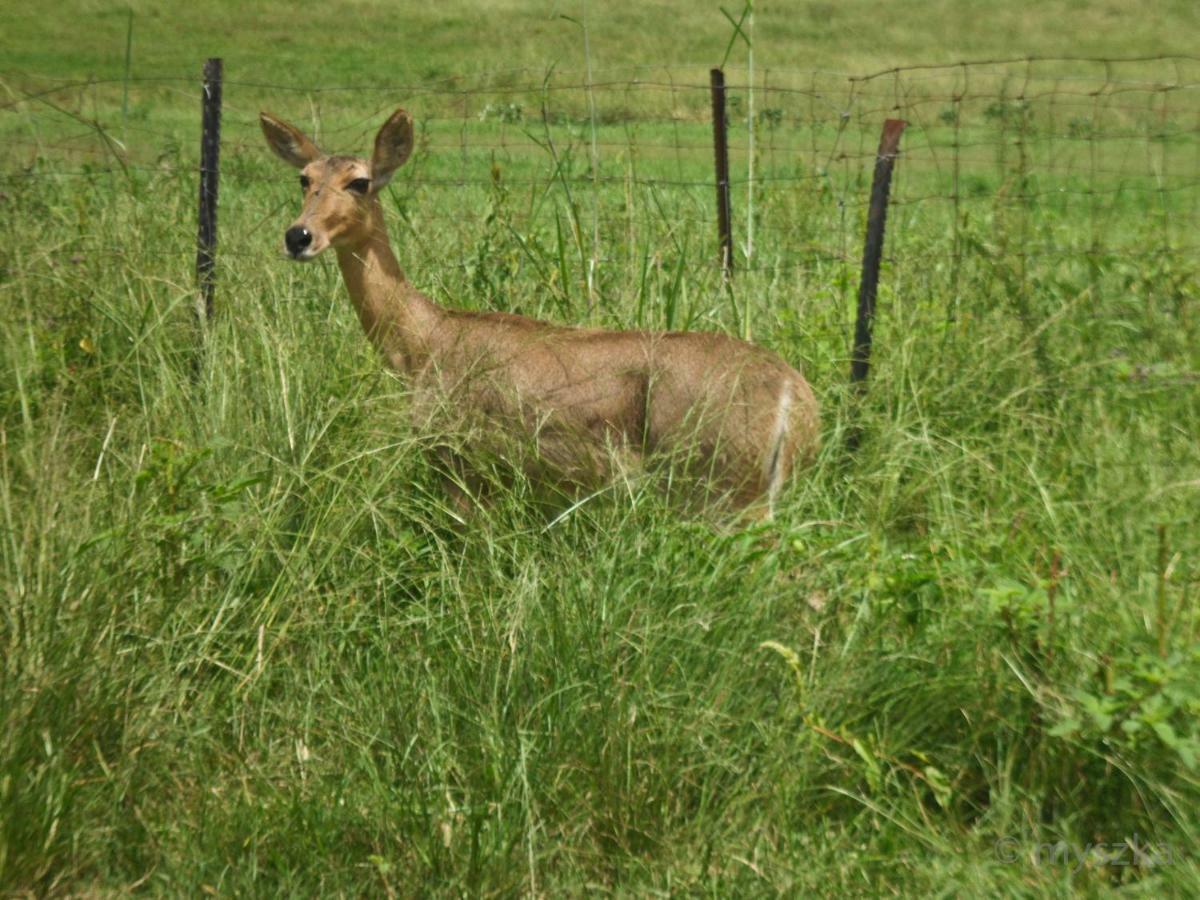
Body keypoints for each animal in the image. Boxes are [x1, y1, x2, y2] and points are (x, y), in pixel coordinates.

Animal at [260, 108, 825, 518]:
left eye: (359, 181)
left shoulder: (463, 460)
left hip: (721, 486)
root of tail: (798, 402)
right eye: (304, 178)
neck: (422, 343)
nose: (298, 236)